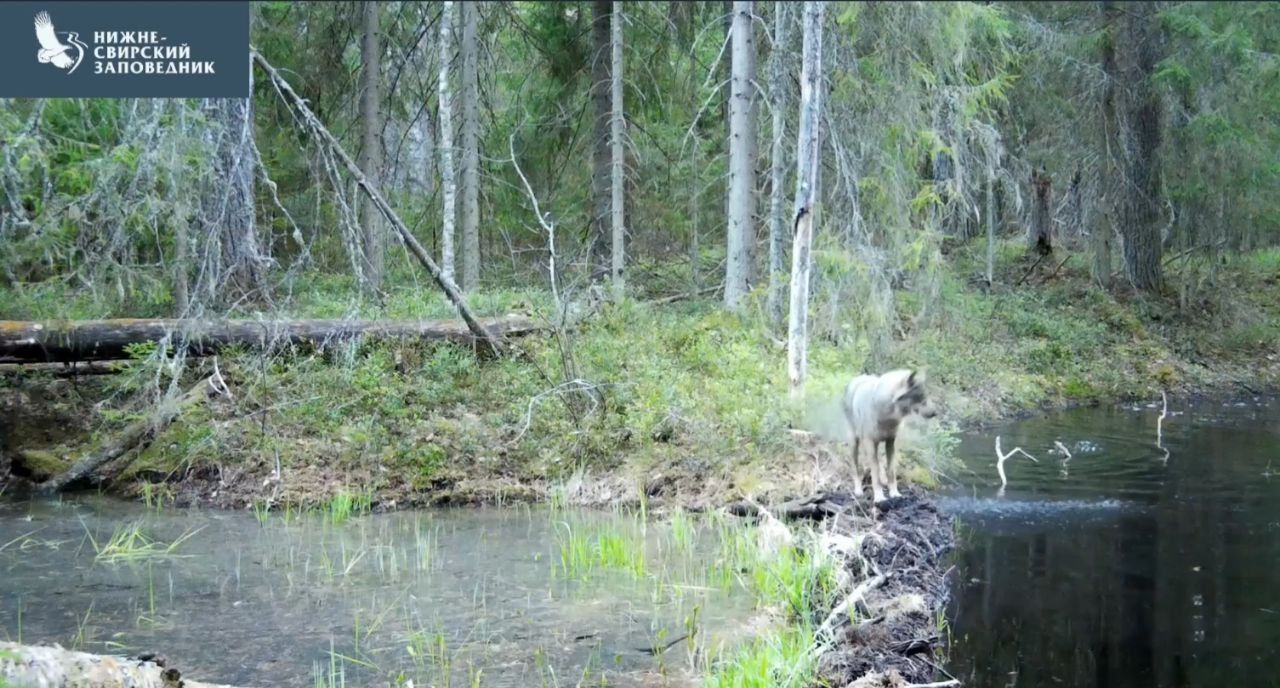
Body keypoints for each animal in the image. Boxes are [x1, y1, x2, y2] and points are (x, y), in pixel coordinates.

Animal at [839, 368, 942, 498]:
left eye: (926, 395)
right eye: (920, 396)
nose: (935, 413)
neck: (886, 414)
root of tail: (855, 379)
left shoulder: (891, 442)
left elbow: (891, 472)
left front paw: (894, 493)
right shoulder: (870, 443)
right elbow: (875, 474)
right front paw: (879, 497)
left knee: (879, 461)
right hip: (854, 443)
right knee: (856, 468)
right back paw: (858, 490)